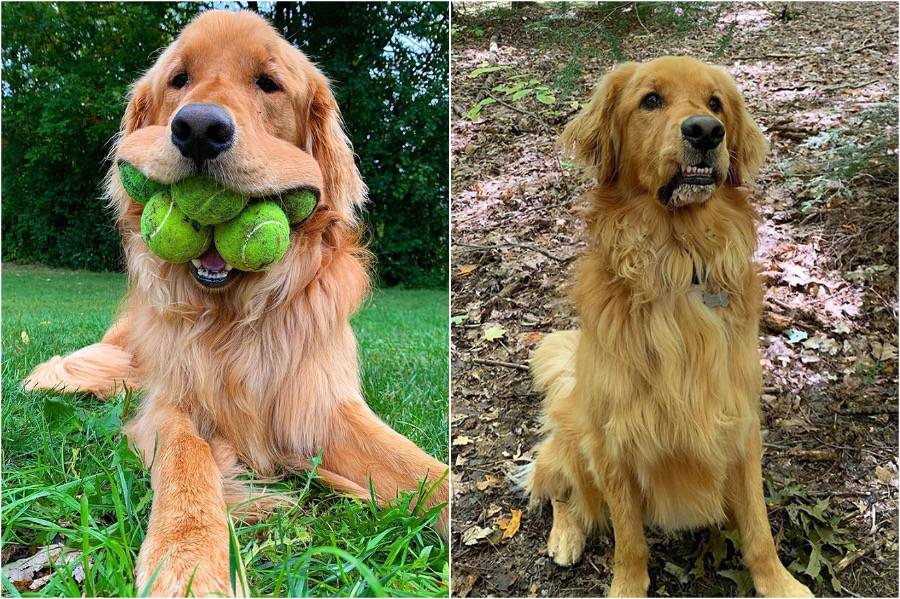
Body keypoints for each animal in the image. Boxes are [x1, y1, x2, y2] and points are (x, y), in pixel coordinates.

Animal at [26, 10, 448, 599]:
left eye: (268, 84)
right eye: (179, 79)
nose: (200, 128)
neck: (232, 316)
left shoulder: (319, 402)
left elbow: (425, 472)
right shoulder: (170, 404)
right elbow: (189, 458)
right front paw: (189, 562)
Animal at [520, 55, 816, 596]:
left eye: (715, 103)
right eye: (650, 100)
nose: (706, 131)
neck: (679, 261)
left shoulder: (740, 424)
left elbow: (759, 526)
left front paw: (778, 583)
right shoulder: (612, 440)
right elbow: (629, 538)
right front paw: (627, 586)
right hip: (576, 434)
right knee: (558, 486)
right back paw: (565, 534)